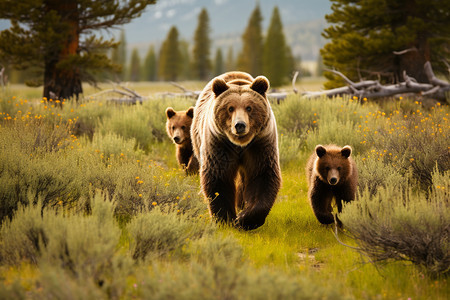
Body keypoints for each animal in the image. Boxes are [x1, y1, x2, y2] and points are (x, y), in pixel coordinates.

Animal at [191, 71, 282, 231]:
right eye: (230, 108)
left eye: (249, 107)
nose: (240, 125)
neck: (240, 144)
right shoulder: (219, 143)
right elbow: (218, 177)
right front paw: (226, 219)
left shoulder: (259, 144)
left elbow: (262, 175)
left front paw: (245, 218)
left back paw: (241, 205)